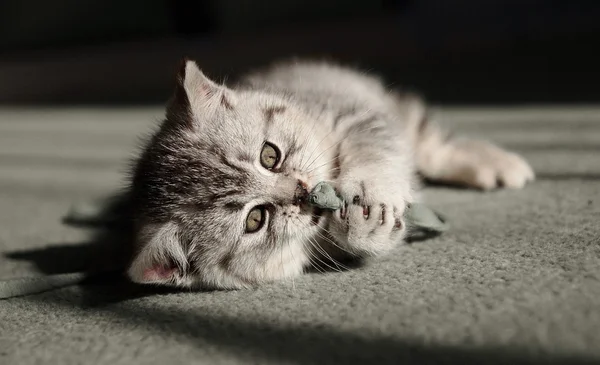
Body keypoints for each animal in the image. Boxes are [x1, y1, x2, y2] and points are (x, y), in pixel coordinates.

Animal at [127, 59, 536, 288]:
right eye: (256, 219)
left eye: (270, 155)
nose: (301, 192)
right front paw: (365, 228)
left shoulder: (358, 115)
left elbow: (378, 150)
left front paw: (370, 194)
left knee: (430, 145)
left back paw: (499, 165)